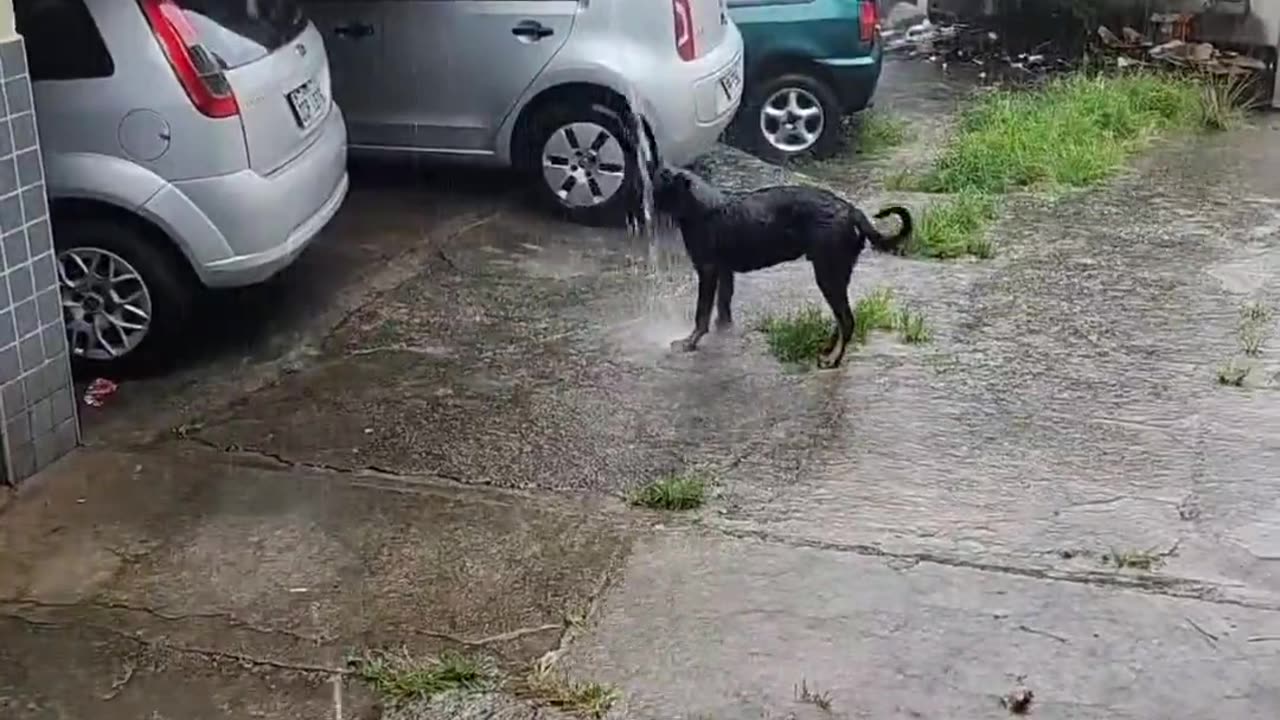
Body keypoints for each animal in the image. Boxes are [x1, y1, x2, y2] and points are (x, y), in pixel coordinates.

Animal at [655, 167, 916, 366]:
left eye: (660, 186)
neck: (701, 207)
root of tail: (852, 210)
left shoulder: (707, 270)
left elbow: (702, 313)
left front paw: (689, 342)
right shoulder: (724, 271)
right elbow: (723, 305)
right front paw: (724, 331)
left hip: (827, 274)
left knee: (847, 321)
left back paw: (833, 360)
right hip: (838, 273)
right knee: (841, 319)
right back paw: (828, 349)